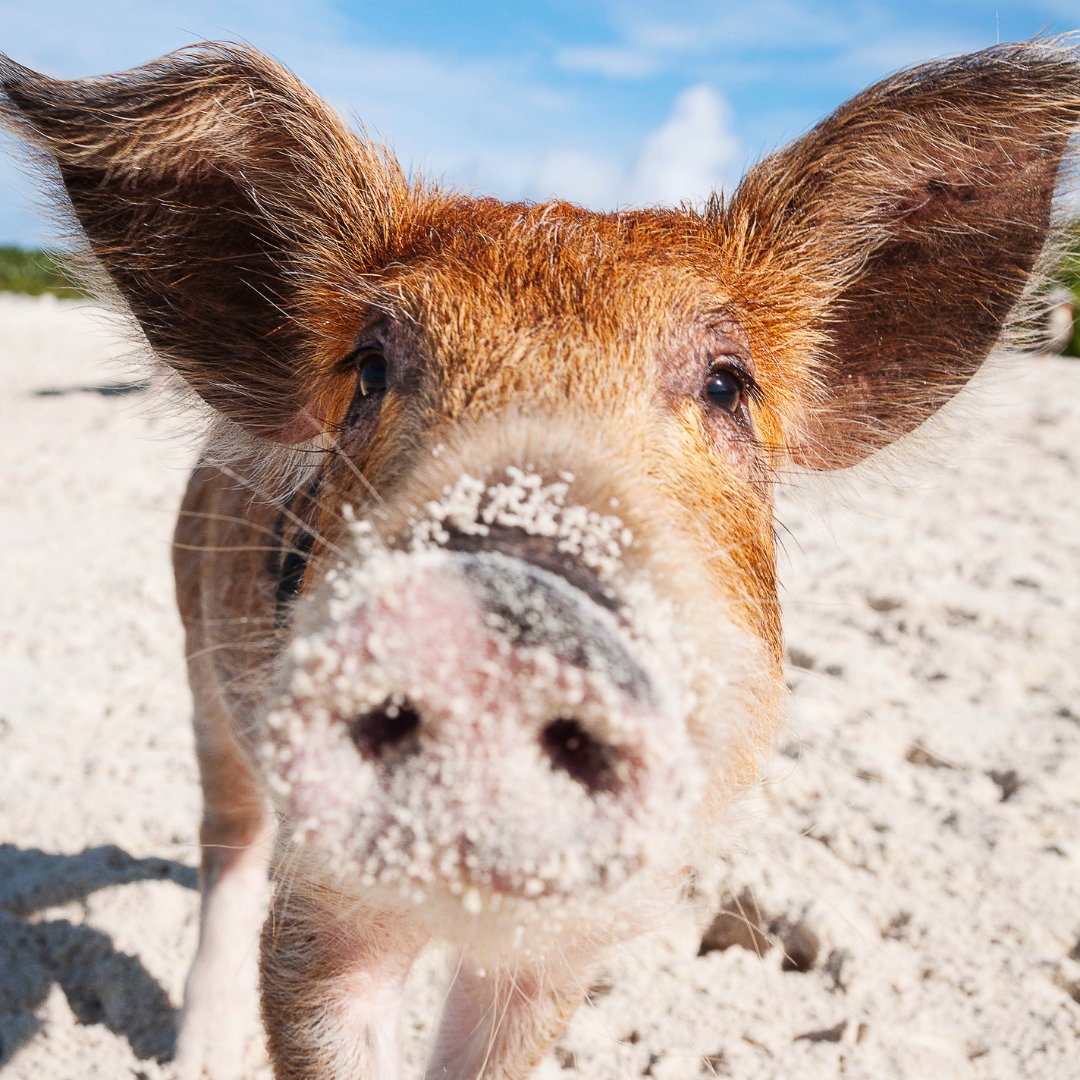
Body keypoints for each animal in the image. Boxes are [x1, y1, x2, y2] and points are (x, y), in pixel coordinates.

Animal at [2, 39, 1078, 1080]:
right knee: (227, 841)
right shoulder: (322, 913)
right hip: (201, 662)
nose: (496, 612)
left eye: (728, 385)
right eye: (370, 369)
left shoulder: (567, 949)